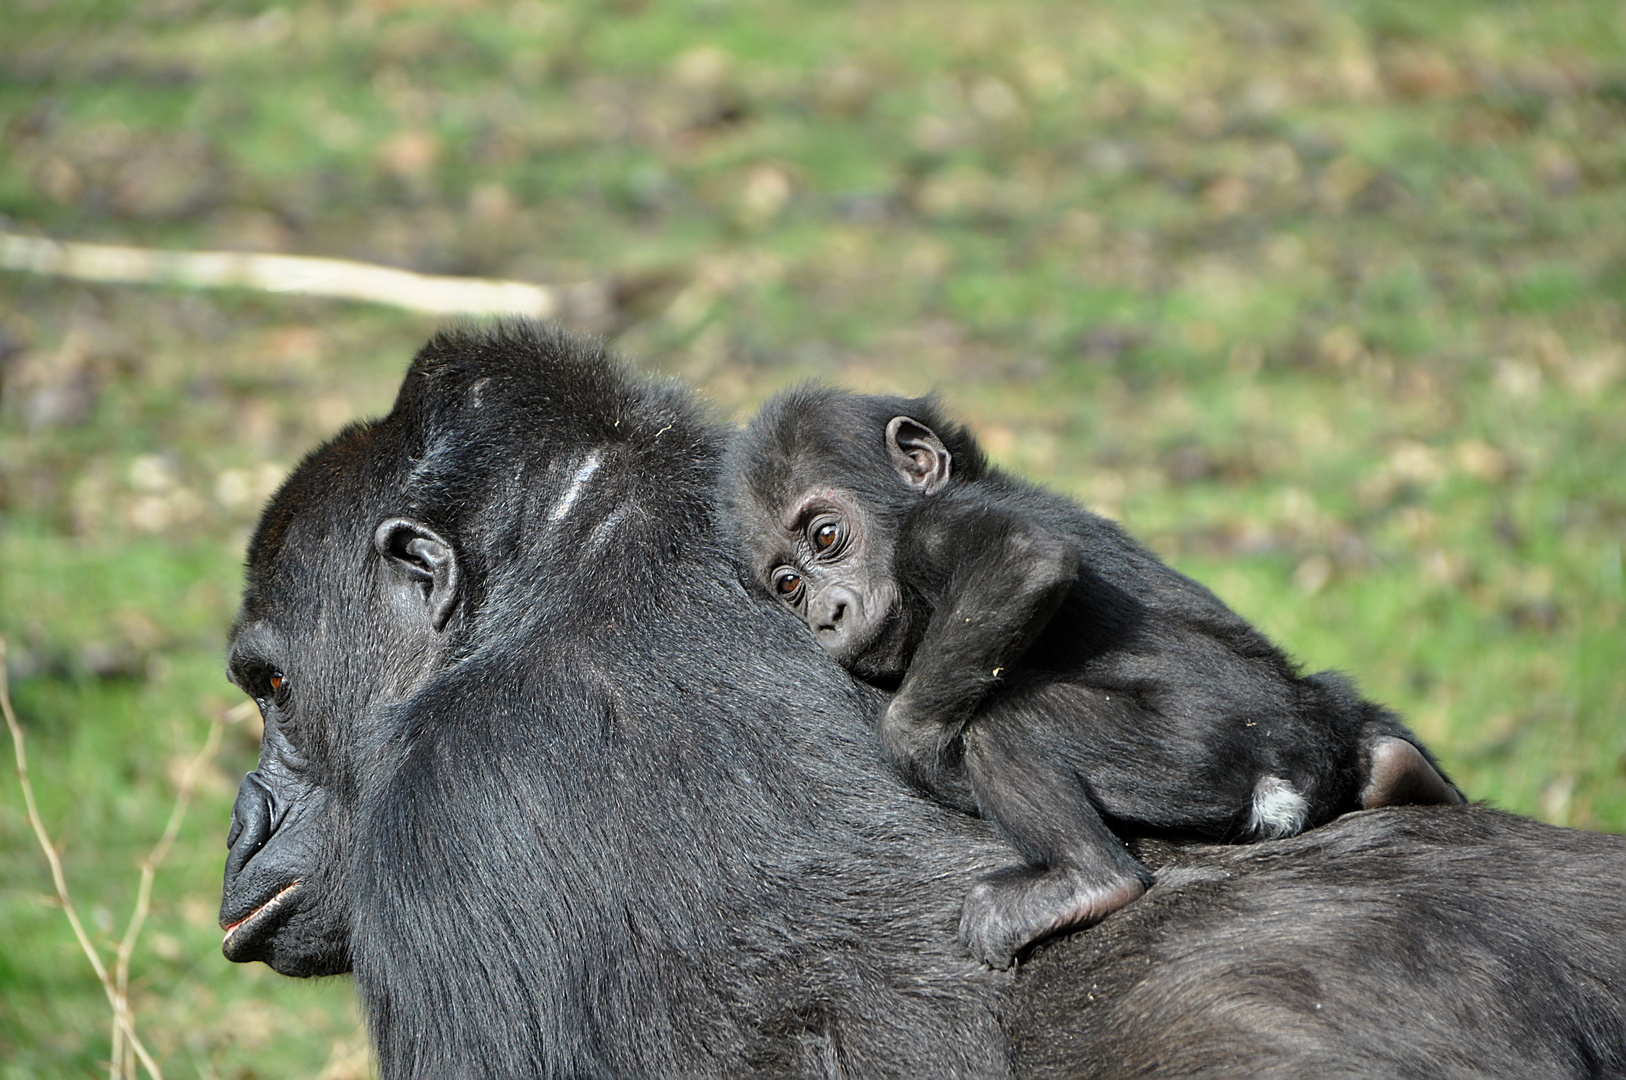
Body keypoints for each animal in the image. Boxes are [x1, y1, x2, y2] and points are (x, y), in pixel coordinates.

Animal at [725, 388, 1463, 969]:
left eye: (826, 536)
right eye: (787, 585)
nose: (825, 614)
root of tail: (1309, 754)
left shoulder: (929, 533)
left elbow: (1022, 561)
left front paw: (916, 743)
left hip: (1207, 747)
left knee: (1006, 728)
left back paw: (1086, 882)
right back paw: (1401, 771)